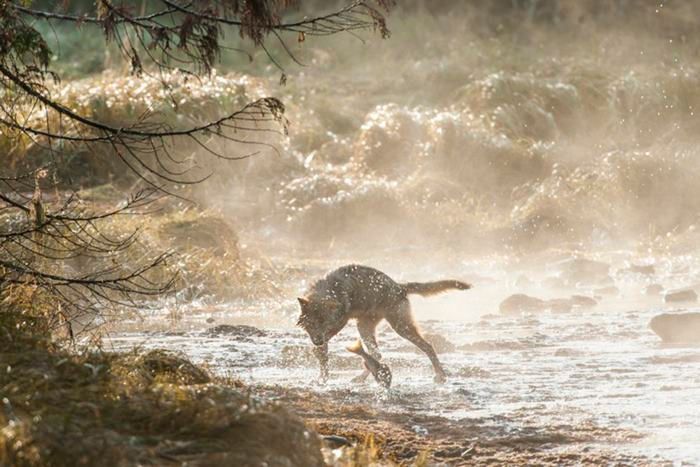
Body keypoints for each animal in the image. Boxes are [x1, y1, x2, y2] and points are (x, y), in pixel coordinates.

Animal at [296, 266, 470, 386]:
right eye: (312, 324)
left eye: (325, 324)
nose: (317, 341)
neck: (330, 289)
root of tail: (399, 286)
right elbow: (323, 357)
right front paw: (321, 376)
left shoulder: (340, 322)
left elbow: (324, 347)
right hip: (364, 328)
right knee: (376, 356)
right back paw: (360, 378)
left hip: (400, 327)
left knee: (428, 346)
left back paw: (440, 375)